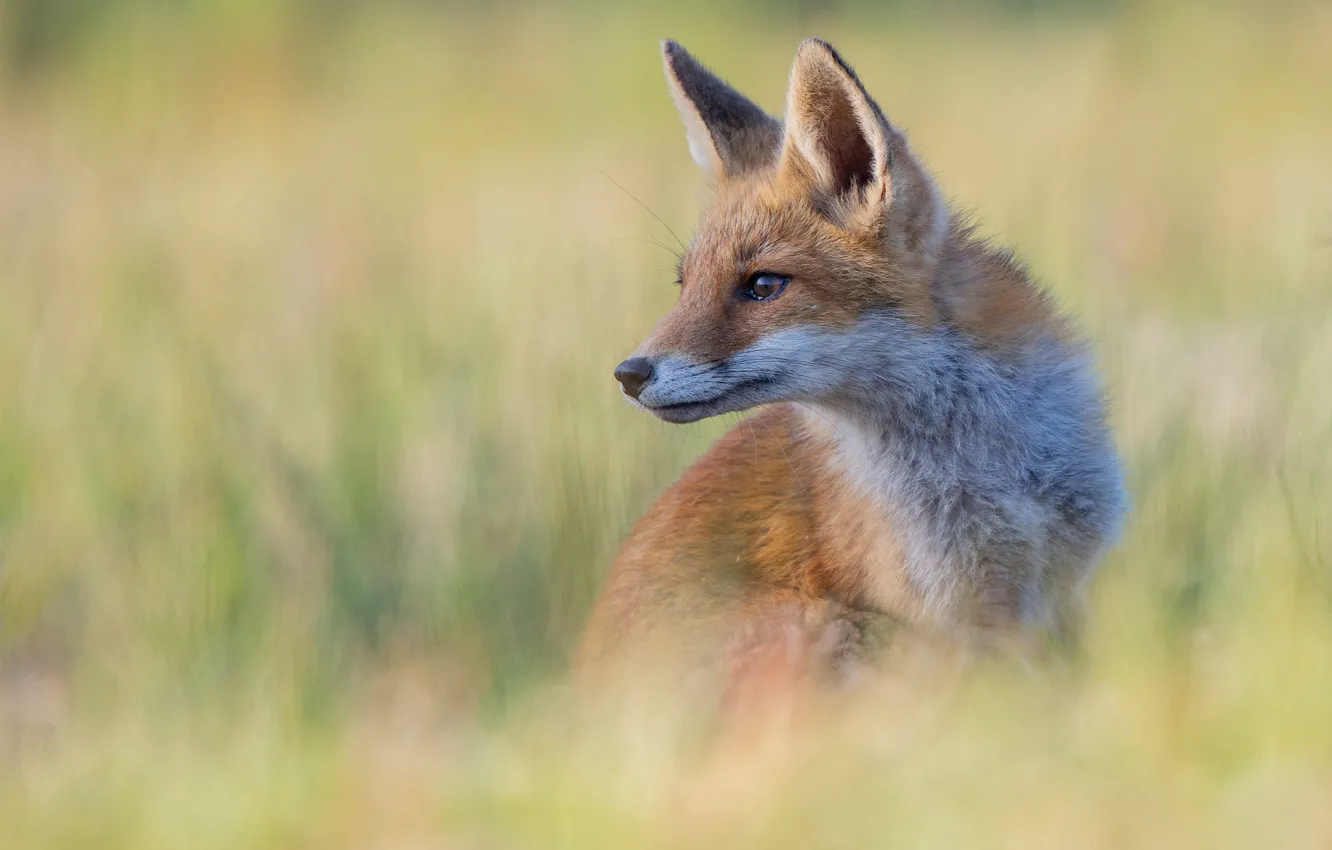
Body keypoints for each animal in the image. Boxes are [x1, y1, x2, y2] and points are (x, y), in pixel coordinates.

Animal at [578, 38, 1129, 679]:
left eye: (763, 286)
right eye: (684, 285)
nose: (628, 374)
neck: (992, 462)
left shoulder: (1061, 592)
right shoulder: (959, 620)